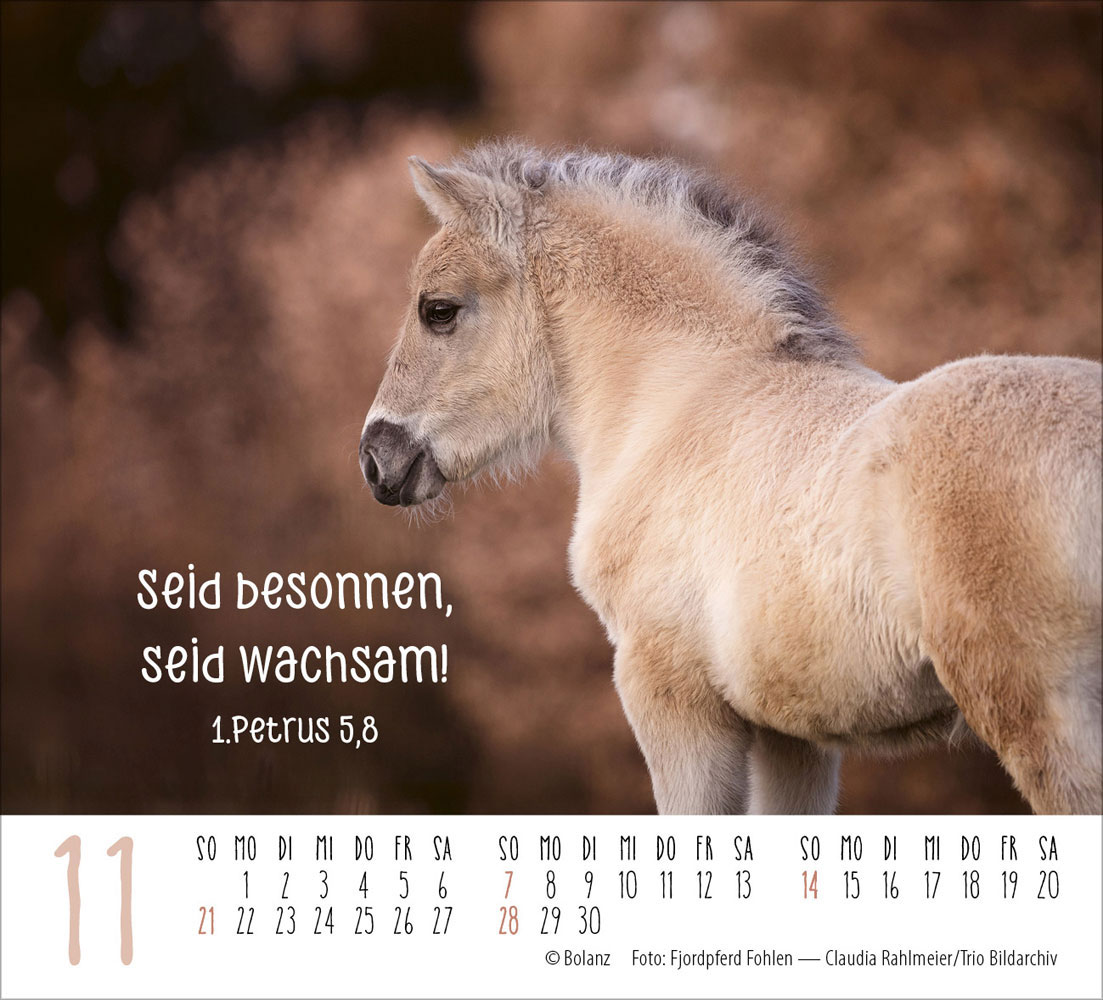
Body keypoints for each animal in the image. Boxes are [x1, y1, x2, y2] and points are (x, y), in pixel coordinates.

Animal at [359, 141, 1102, 814]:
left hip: (1040, 712)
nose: (375, 458)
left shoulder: (669, 696)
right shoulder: (793, 733)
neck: (680, 405)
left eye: (439, 309)